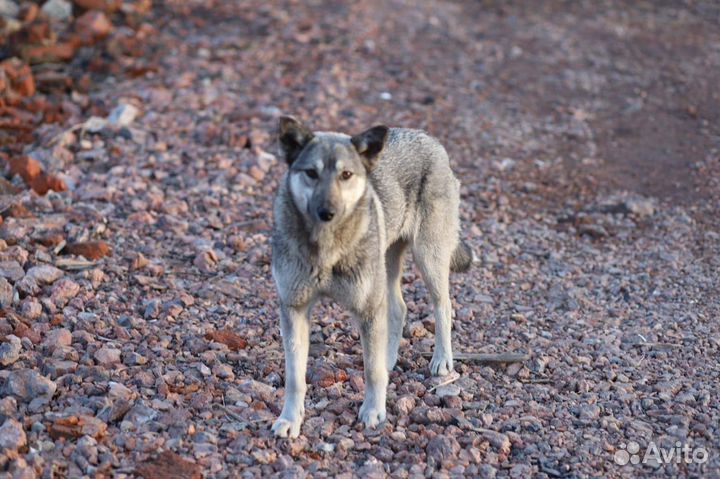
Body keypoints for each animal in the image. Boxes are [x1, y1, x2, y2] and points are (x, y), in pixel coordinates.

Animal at [270, 117, 472, 438]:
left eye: (346, 175)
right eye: (311, 173)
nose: (327, 211)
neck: (327, 249)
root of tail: (428, 137)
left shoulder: (366, 308)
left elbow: (371, 371)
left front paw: (373, 412)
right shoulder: (294, 310)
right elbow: (294, 378)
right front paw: (290, 420)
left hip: (427, 260)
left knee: (444, 305)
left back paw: (442, 360)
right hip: (386, 268)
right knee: (399, 309)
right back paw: (389, 359)